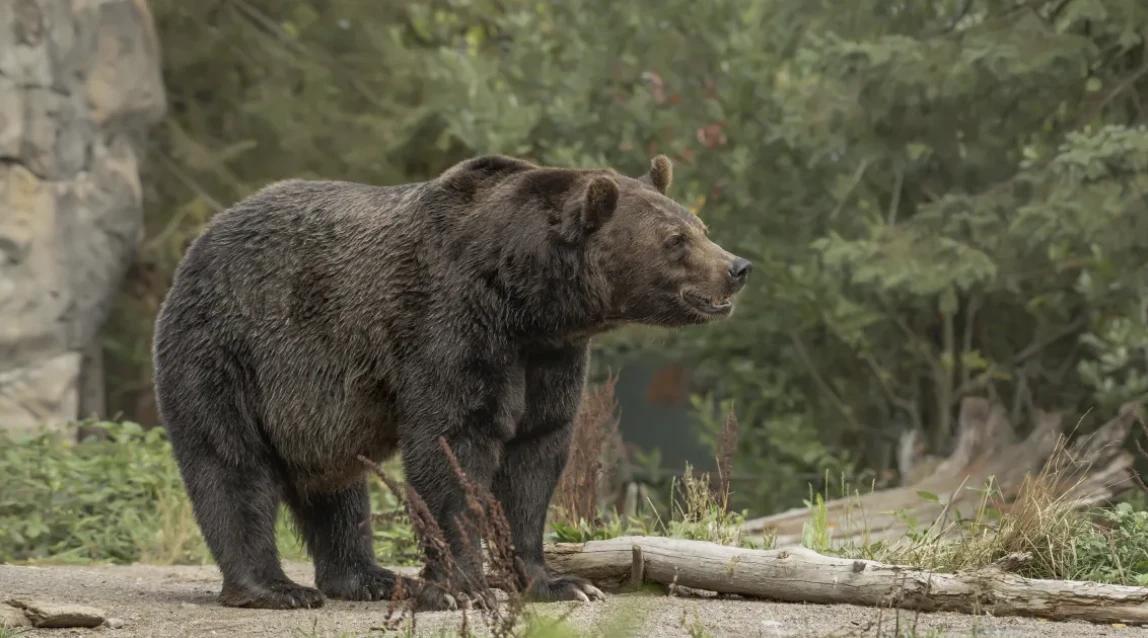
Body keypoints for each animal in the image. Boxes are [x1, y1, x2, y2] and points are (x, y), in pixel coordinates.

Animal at [150, 154, 752, 611]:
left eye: (701, 228)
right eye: (675, 239)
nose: (737, 267)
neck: (526, 299)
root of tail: (199, 241)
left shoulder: (548, 358)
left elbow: (535, 458)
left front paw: (558, 583)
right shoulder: (450, 325)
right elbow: (451, 447)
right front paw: (463, 588)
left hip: (315, 409)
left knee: (337, 488)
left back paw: (369, 577)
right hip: (228, 351)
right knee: (231, 464)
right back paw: (274, 589)